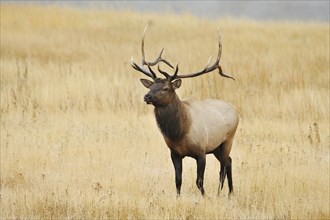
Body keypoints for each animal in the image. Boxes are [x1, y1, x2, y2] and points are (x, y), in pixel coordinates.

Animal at [130, 25, 238, 196]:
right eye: (151, 85)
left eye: (166, 88)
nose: (146, 96)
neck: (179, 132)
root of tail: (235, 110)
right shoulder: (174, 153)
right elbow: (178, 180)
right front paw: (178, 198)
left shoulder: (201, 151)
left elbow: (199, 181)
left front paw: (205, 197)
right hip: (216, 147)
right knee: (229, 161)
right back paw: (230, 193)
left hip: (228, 140)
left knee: (223, 167)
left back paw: (220, 193)